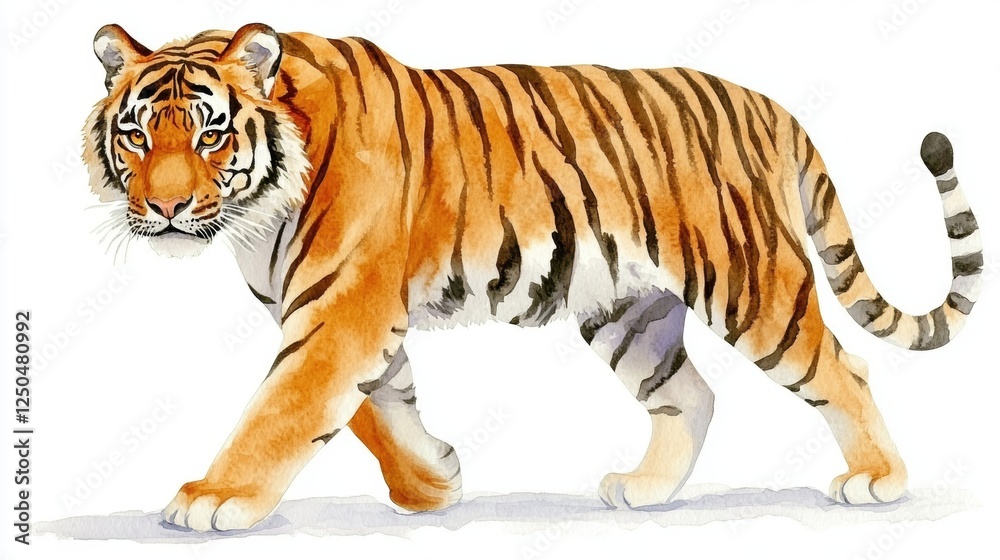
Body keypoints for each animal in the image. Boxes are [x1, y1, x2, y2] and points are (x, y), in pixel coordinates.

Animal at [83, 23, 982, 531]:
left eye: (208, 136)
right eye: (137, 136)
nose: (164, 208)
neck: (259, 208)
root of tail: (772, 106)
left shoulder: (342, 309)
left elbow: (282, 411)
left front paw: (213, 497)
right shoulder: (336, 311)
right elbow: (376, 405)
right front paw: (435, 483)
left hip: (750, 283)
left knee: (844, 367)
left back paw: (878, 481)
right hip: (627, 309)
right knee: (690, 394)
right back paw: (647, 490)